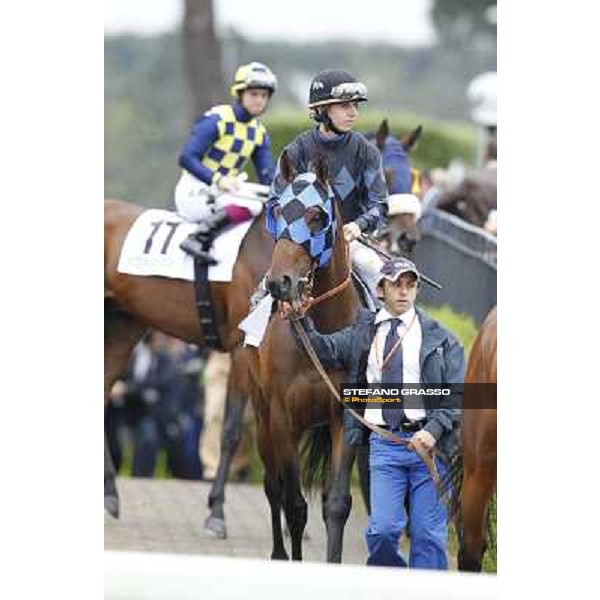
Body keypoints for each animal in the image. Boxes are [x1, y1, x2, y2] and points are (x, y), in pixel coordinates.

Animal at [252, 151, 364, 564]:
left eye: (316, 215)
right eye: (277, 211)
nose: (278, 282)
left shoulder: (344, 417)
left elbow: (336, 503)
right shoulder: (283, 419)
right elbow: (294, 505)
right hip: (261, 414)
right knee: (273, 487)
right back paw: (277, 553)